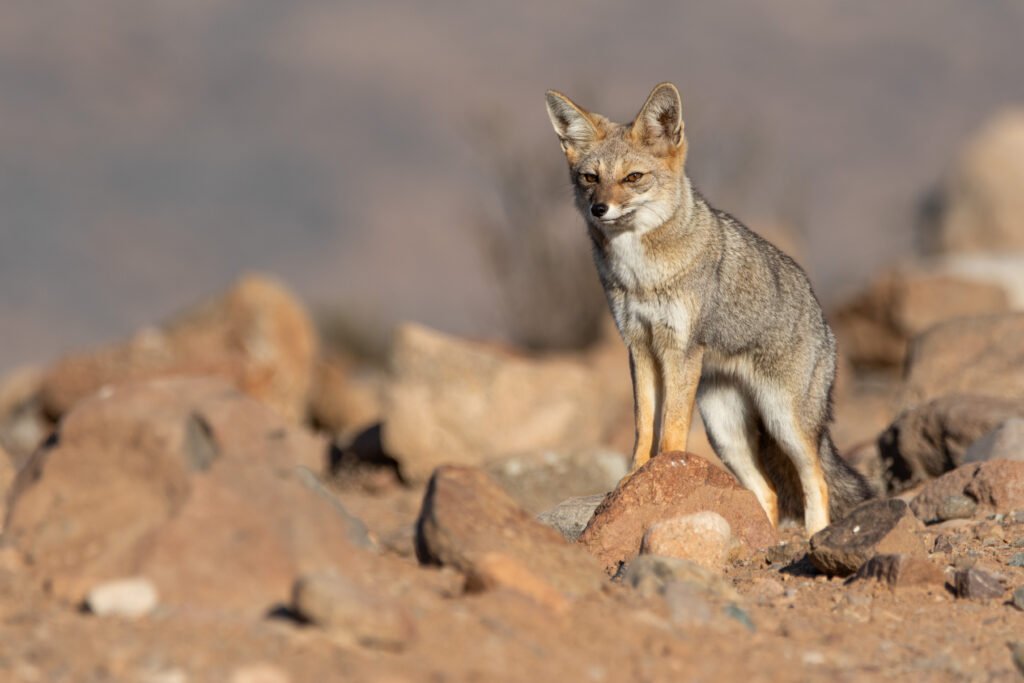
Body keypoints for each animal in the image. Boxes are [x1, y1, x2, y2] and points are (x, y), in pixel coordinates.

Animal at [544, 82, 874, 534]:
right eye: (590, 178)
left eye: (633, 178)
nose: (599, 209)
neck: (639, 274)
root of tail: (822, 318)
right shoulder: (638, 346)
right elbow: (644, 424)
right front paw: (634, 476)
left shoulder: (680, 349)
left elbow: (671, 429)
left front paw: (666, 473)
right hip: (724, 431)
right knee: (768, 493)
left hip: (785, 422)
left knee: (816, 480)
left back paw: (815, 537)